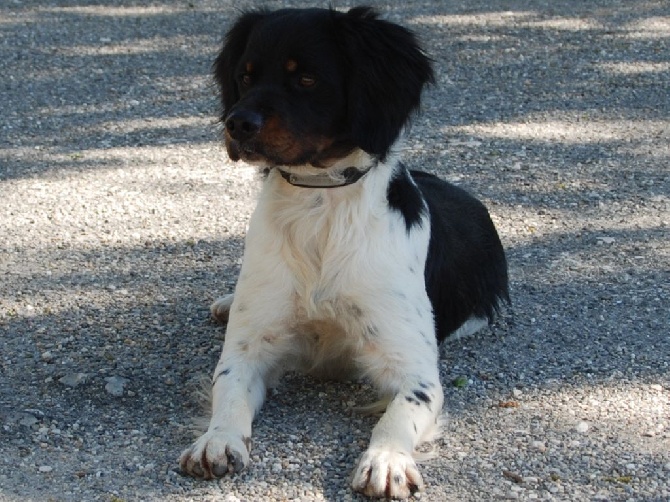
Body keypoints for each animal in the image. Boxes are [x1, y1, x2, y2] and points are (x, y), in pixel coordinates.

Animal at [178, 6, 510, 498]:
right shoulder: (249, 347)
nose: (236, 123)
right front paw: (216, 440)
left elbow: (398, 415)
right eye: (245, 76)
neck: (319, 206)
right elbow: (229, 391)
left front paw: (387, 460)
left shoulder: (414, 369)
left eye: (307, 79)